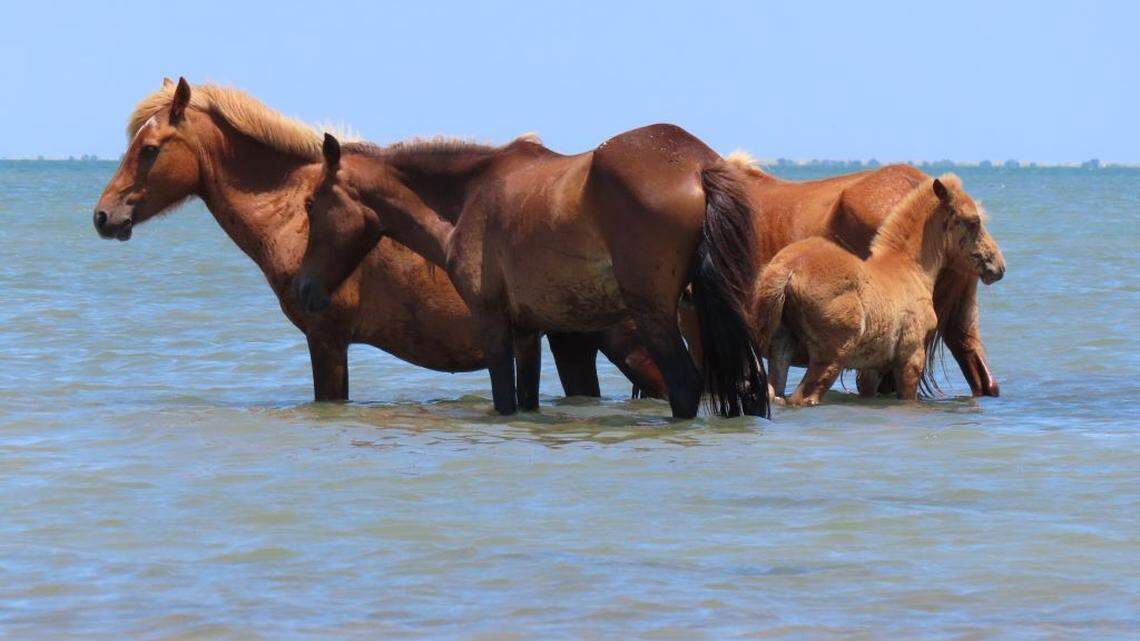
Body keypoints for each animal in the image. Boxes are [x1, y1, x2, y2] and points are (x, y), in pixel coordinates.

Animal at [91, 78, 668, 402]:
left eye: (149, 149)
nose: (102, 215)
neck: (295, 217)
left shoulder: (326, 341)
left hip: (629, 347)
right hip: (573, 347)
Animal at [295, 130, 768, 419]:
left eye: (311, 205)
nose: (305, 288)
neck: (468, 198)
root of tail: (698, 166)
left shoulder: (491, 320)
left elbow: (505, 397)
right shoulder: (527, 330)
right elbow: (527, 399)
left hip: (654, 315)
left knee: (685, 384)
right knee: (748, 382)